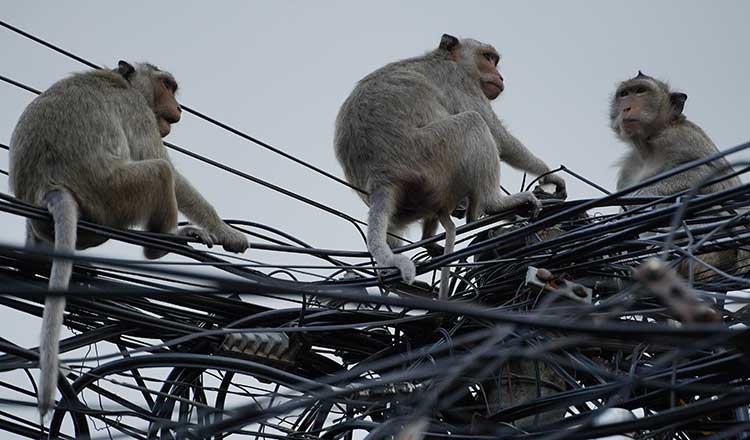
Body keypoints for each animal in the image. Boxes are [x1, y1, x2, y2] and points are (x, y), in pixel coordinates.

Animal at [9, 59, 250, 420]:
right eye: (167, 85)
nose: (178, 108)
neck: (123, 82)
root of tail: (49, 188)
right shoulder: (138, 111)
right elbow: (165, 166)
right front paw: (227, 232)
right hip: (112, 195)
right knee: (160, 171)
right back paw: (162, 242)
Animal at [334, 32, 564, 298]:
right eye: (488, 58)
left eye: (495, 60)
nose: (500, 76)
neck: (447, 58)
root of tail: (382, 176)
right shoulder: (460, 82)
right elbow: (497, 135)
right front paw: (547, 173)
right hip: (431, 154)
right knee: (473, 122)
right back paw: (493, 204)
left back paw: (432, 238)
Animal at [612, 72, 748, 278]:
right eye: (624, 94)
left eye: (641, 90)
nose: (626, 107)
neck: (648, 147)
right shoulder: (629, 168)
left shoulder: (680, 139)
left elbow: (708, 176)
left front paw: (640, 197)